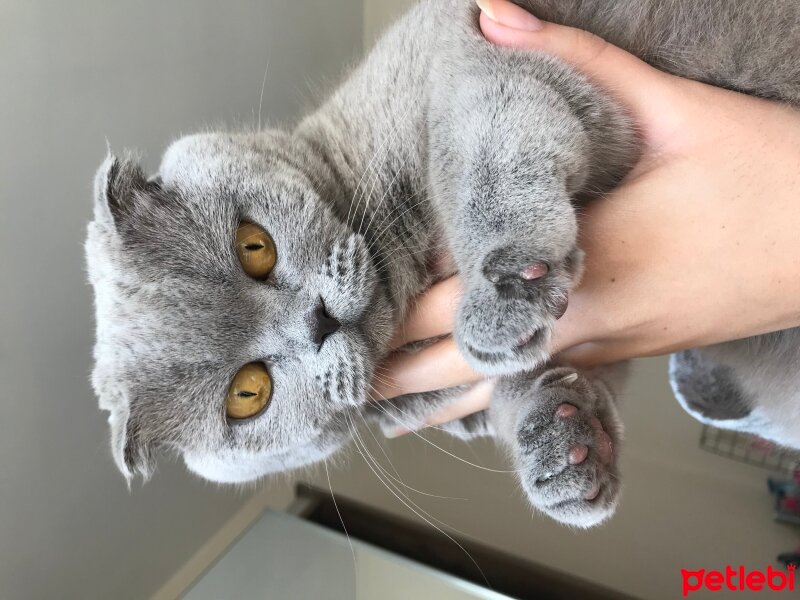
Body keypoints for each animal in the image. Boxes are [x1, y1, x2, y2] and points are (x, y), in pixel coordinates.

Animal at [86, 0, 800, 524]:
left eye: (253, 246)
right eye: (247, 393)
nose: (317, 321)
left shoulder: (485, 58)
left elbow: (485, 153)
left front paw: (505, 289)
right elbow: (538, 384)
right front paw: (565, 451)